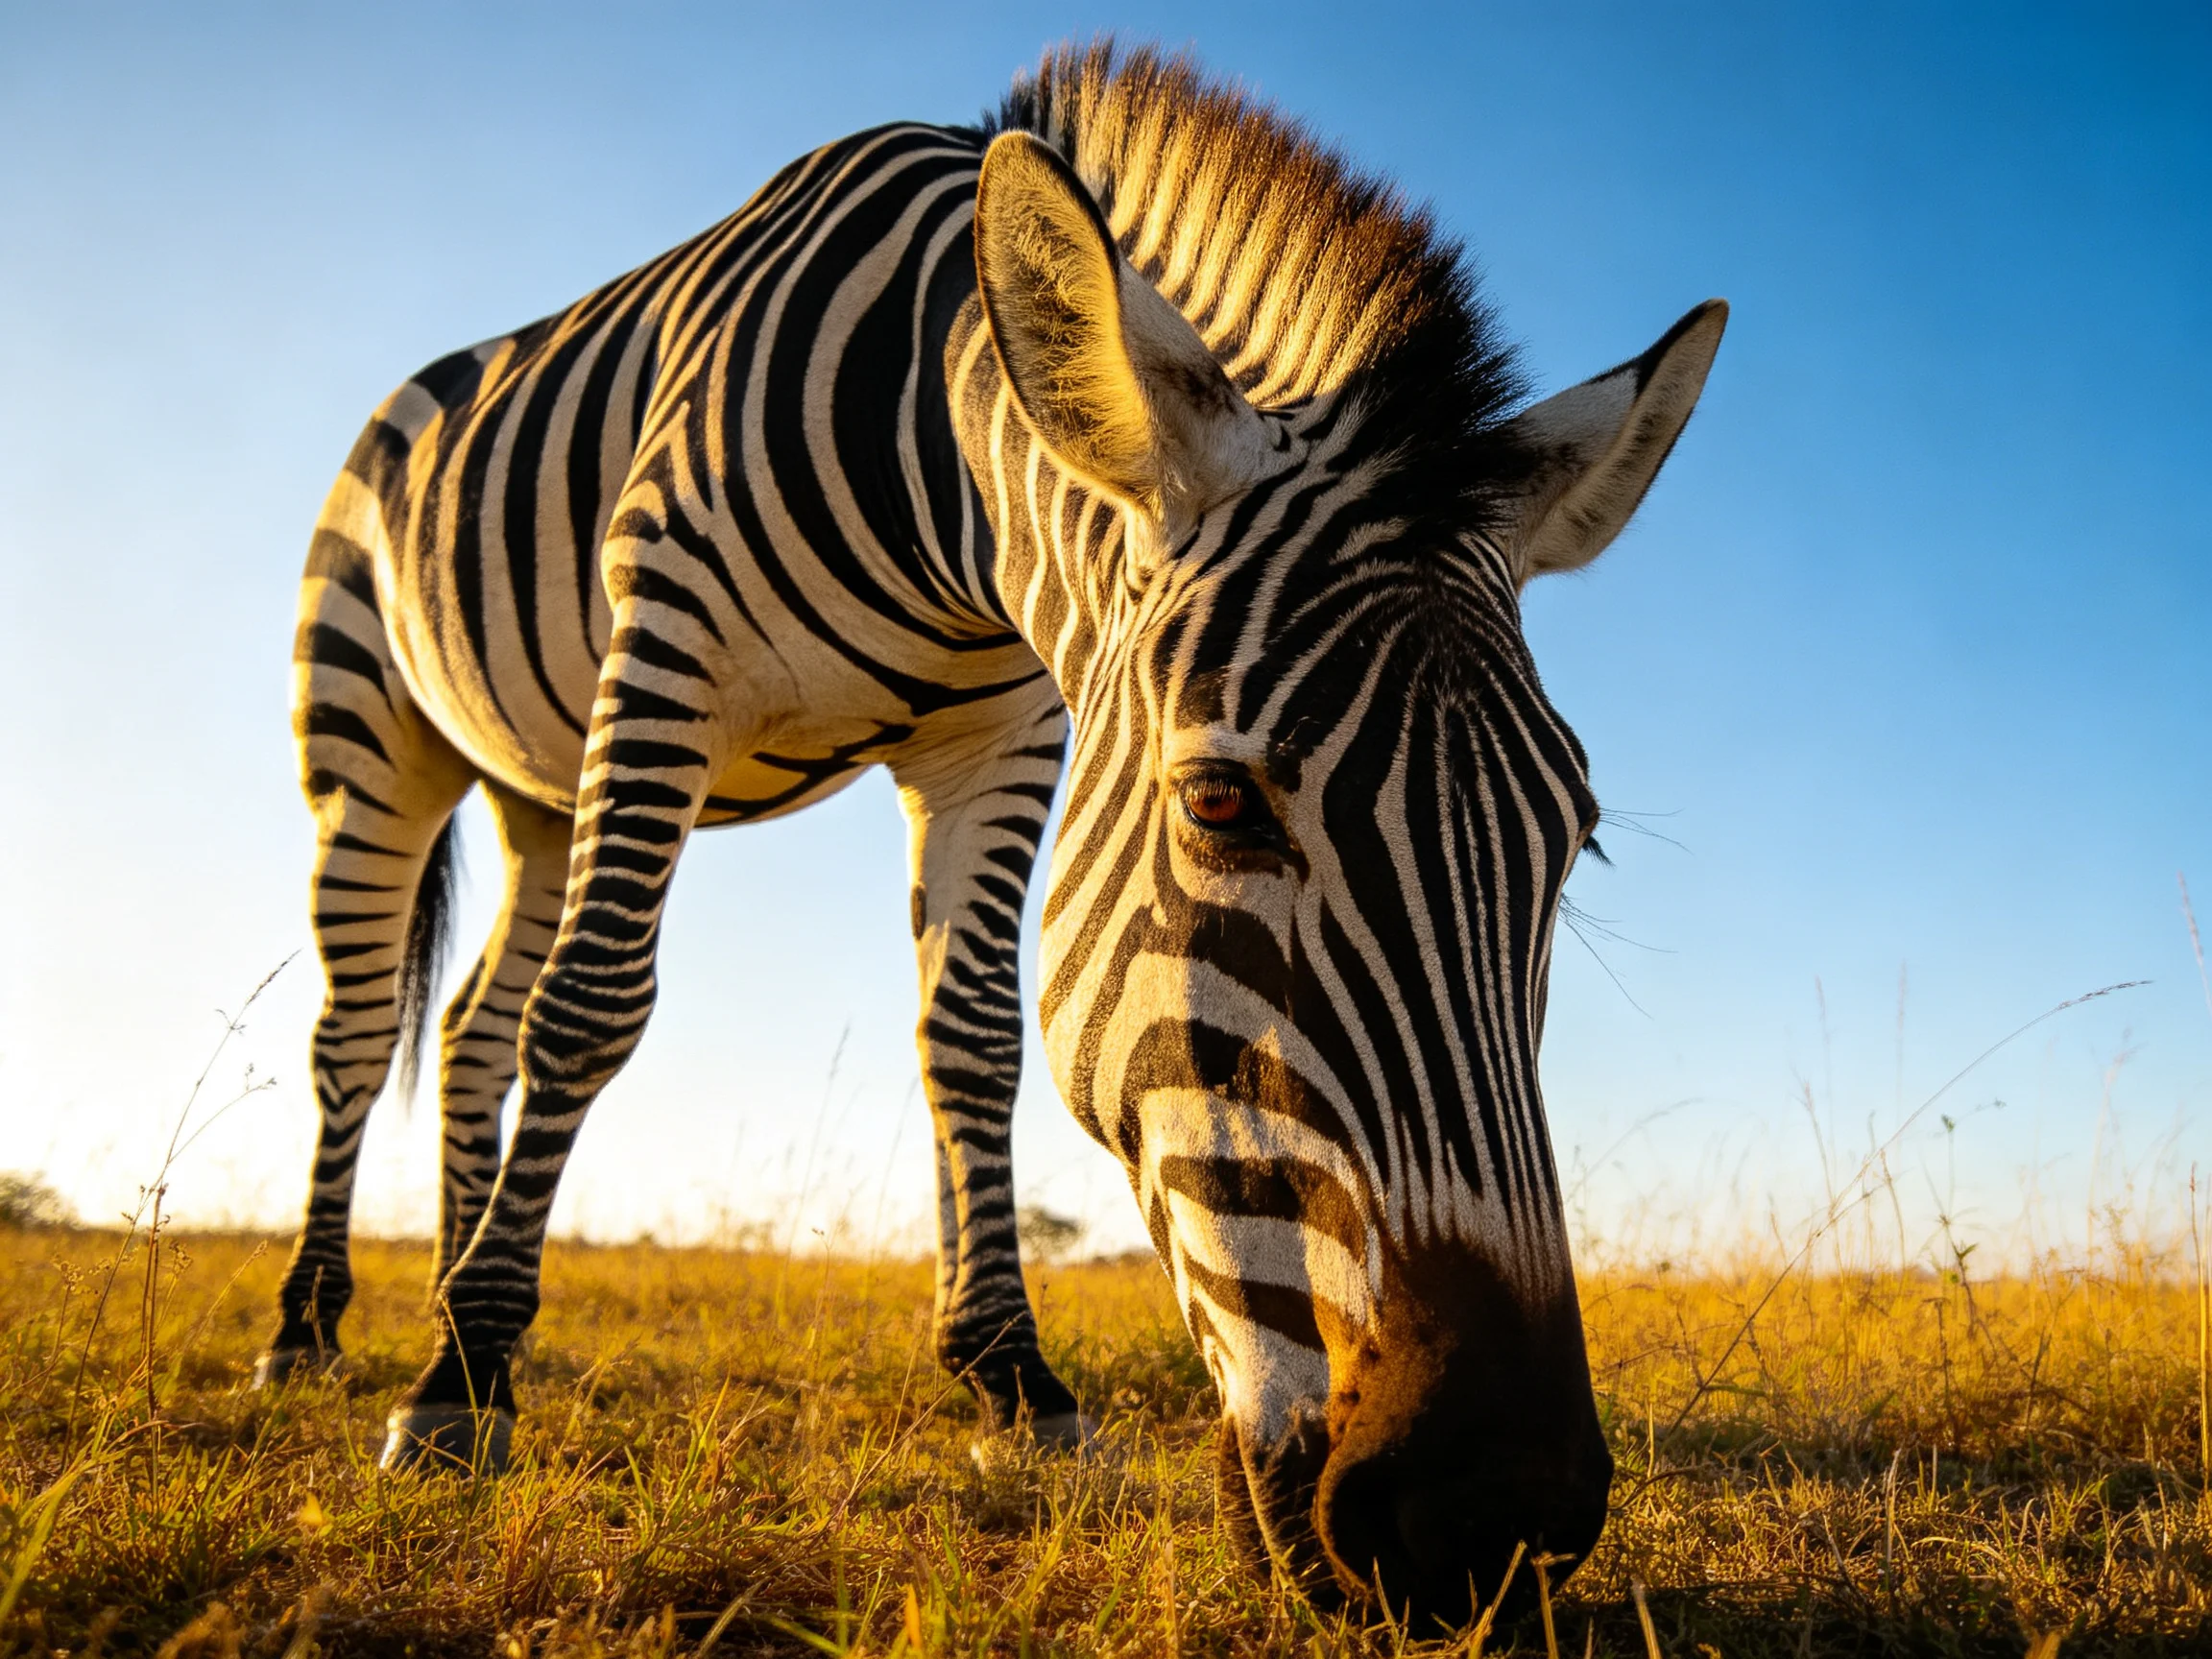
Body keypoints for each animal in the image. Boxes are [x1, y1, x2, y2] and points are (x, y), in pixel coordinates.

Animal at [262, 41, 1722, 1618]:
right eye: (1219, 803)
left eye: (1572, 839)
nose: (1494, 1515)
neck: (937, 473)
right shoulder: (666, 647)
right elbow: (592, 1011)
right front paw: (464, 1380)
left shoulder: (1001, 736)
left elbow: (971, 1042)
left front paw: (1015, 1384)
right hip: (376, 744)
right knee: (365, 1034)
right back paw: (322, 1328)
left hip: (536, 785)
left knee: (473, 1024)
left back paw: (446, 1278)